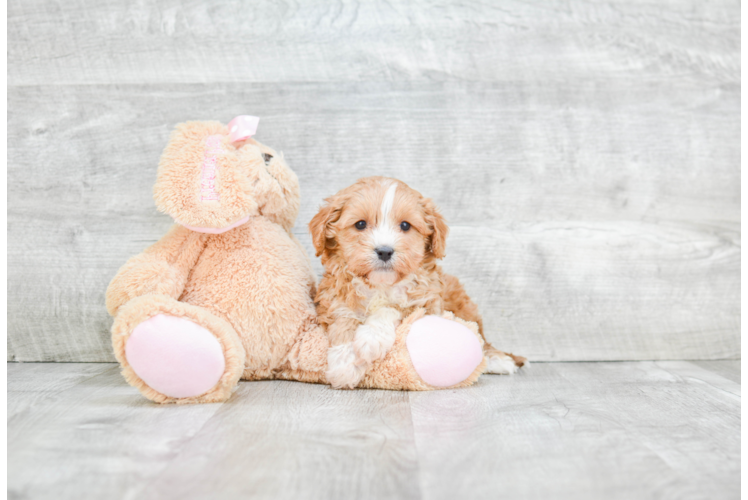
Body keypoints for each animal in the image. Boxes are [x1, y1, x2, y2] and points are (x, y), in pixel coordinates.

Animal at [306, 177, 524, 390]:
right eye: (360, 224)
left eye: (405, 226)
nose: (384, 251)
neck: (381, 285)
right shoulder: (333, 298)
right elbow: (343, 317)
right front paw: (345, 363)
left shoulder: (428, 304)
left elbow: (394, 308)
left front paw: (371, 338)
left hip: (465, 307)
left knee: (482, 340)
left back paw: (498, 361)